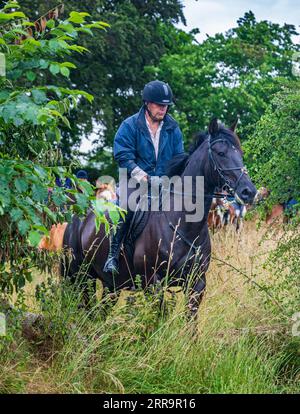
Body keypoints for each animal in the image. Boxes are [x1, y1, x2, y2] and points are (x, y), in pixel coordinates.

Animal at [62, 119, 256, 314]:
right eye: (221, 153)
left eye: (240, 153)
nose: (249, 192)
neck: (182, 223)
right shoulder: (153, 283)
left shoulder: (197, 283)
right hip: (80, 277)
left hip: (111, 286)